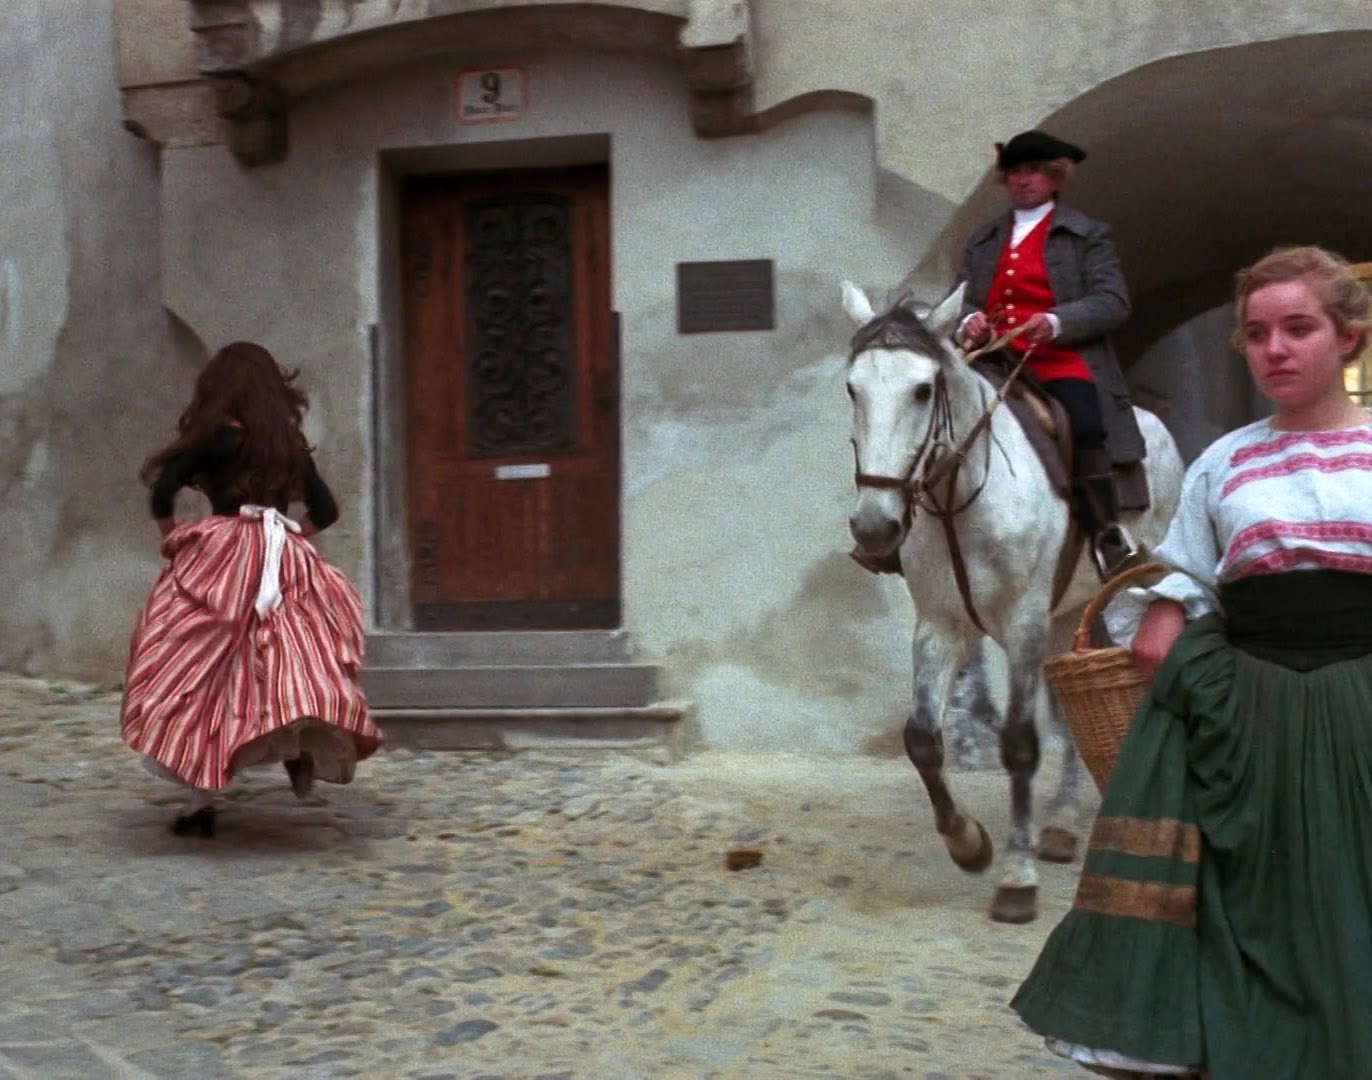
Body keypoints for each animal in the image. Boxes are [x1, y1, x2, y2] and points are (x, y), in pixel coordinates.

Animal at [840, 280, 1186, 923]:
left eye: (923, 389)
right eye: (853, 387)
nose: (874, 527)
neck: (960, 496)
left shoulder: (1023, 622)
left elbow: (1020, 744)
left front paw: (1016, 876)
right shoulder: (940, 626)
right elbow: (922, 739)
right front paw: (968, 842)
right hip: (1066, 613)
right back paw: (1062, 824)